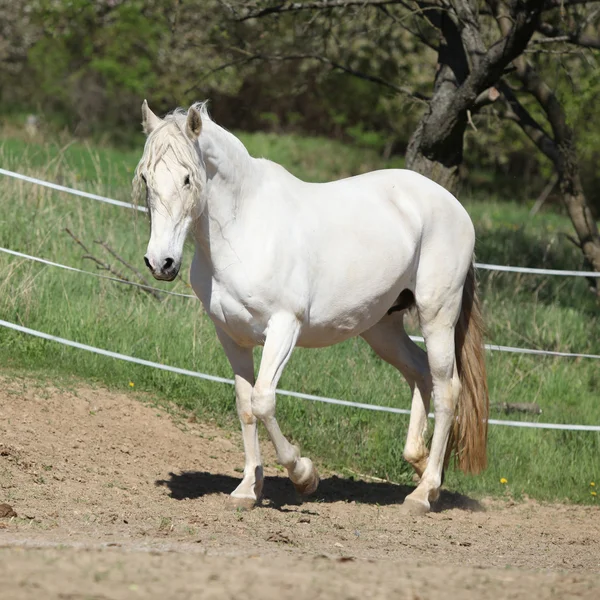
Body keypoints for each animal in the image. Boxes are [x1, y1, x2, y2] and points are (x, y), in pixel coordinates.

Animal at [134, 101, 490, 512]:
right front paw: (247, 489)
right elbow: (244, 405)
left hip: (437, 317)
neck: (244, 228)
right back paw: (420, 464)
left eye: (188, 179)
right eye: (146, 178)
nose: (161, 263)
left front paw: (304, 475)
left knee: (448, 388)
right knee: (419, 372)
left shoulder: (284, 328)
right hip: (381, 327)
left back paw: (423, 492)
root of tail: (454, 207)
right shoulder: (231, 336)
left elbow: (263, 400)